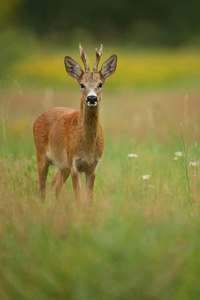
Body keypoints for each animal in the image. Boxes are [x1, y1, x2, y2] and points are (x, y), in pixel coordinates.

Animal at [33, 43, 117, 205]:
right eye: (81, 84)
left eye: (100, 84)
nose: (92, 98)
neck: (87, 148)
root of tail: (38, 117)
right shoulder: (74, 163)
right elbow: (78, 197)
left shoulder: (93, 166)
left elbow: (89, 198)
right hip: (41, 154)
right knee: (42, 189)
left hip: (62, 165)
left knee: (55, 186)